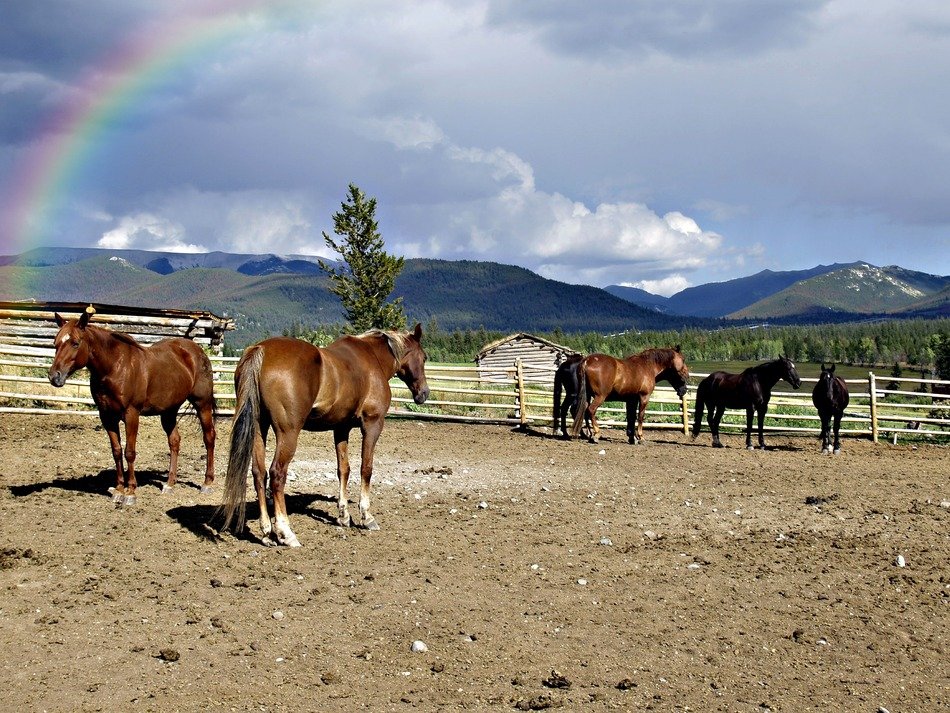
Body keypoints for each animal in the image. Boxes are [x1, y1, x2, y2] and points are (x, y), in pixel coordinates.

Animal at [47, 306, 217, 506]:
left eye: (75, 343)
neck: (114, 367)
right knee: (174, 441)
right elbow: (116, 451)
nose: (54, 376)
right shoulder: (107, 416)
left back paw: (207, 483)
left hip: (202, 404)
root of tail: (197, 352)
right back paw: (169, 484)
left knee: (209, 438)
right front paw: (119, 489)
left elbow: (129, 452)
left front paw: (130, 493)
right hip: (169, 411)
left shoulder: (131, 414)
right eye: (56, 343)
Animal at [219, 324, 429, 547]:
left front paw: (344, 516)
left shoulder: (341, 428)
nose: (424, 393)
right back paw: (286, 533)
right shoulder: (372, 424)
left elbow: (343, 469)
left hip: (259, 428)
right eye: (424, 357)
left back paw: (267, 532)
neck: (373, 359)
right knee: (277, 474)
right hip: (288, 433)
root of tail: (261, 349)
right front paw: (367, 516)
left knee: (259, 473)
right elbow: (366, 468)